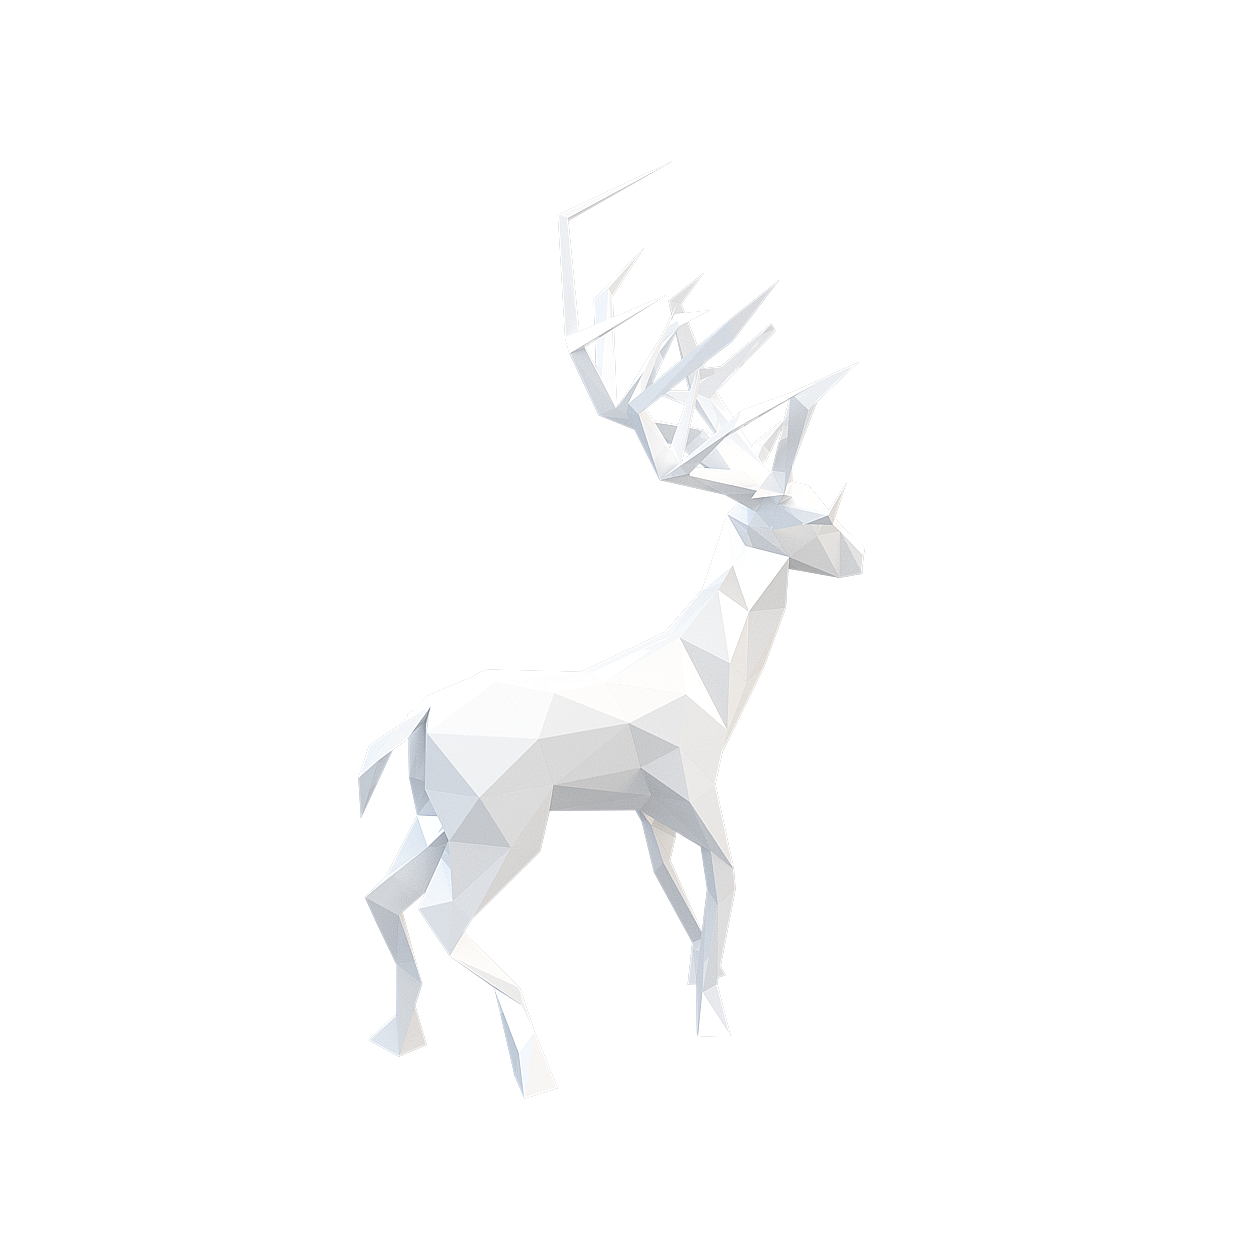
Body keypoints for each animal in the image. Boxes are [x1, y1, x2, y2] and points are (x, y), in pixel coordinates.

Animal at [357, 165, 865, 1098]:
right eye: (813, 516)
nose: (860, 556)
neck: (709, 674)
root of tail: (419, 718)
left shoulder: (645, 808)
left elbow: (676, 894)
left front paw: (704, 981)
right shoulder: (695, 784)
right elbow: (728, 883)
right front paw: (714, 1018)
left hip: (436, 813)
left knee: (381, 895)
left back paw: (398, 1038)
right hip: (503, 821)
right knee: (442, 910)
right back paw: (534, 1065)